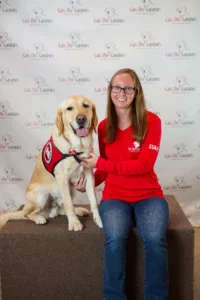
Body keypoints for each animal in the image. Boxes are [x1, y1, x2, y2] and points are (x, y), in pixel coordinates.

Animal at [0, 95, 103, 231]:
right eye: (69, 108)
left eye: (85, 105)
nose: (81, 119)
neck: (76, 147)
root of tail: (50, 211)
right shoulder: (62, 178)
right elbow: (69, 204)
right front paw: (74, 223)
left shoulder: (88, 175)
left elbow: (94, 202)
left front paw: (99, 220)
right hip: (41, 194)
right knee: (27, 214)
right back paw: (39, 218)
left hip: (71, 188)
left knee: (60, 209)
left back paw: (79, 210)